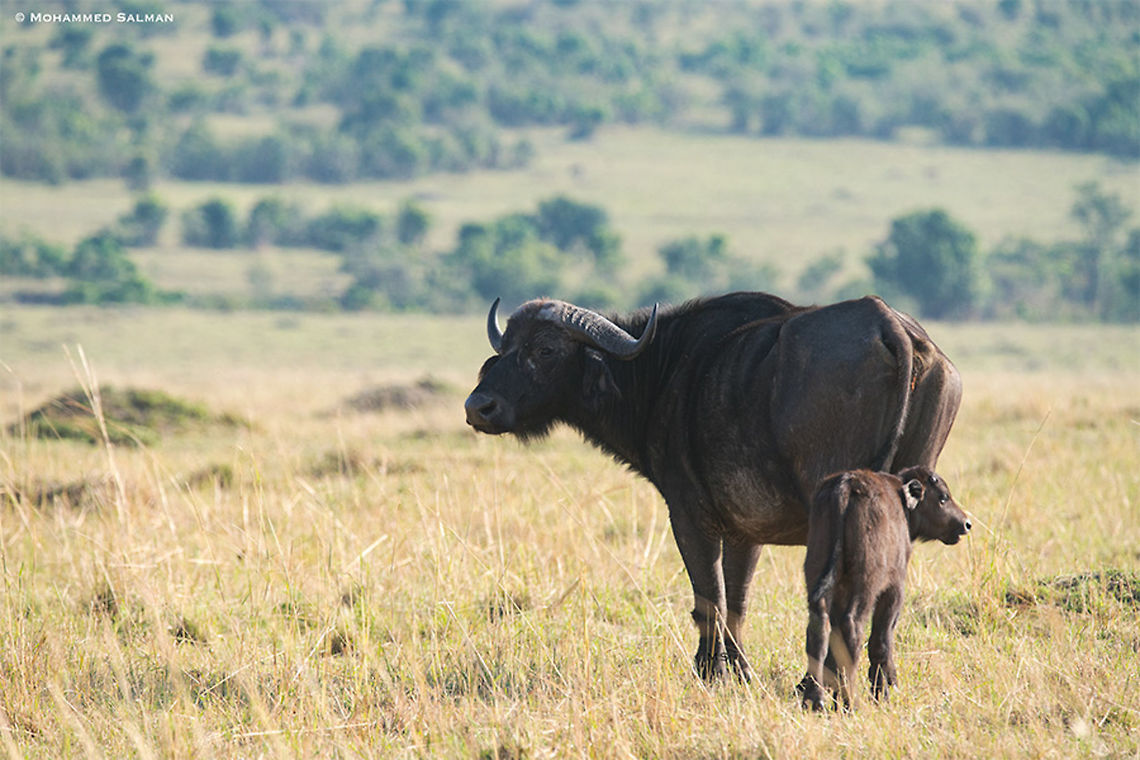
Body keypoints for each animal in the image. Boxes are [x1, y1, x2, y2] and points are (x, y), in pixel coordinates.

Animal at [464, 292, 960, 682]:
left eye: (546, 349)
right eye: (506, 347)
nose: (478, 407)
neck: (664, 371)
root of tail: (887, 324)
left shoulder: (688, 515)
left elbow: (710, 596)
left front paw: (709, 670)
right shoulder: (746, 527)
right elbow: (738, 598)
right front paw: (739, 670)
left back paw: (818, 684)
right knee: (889, 600)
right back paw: (881, 680)